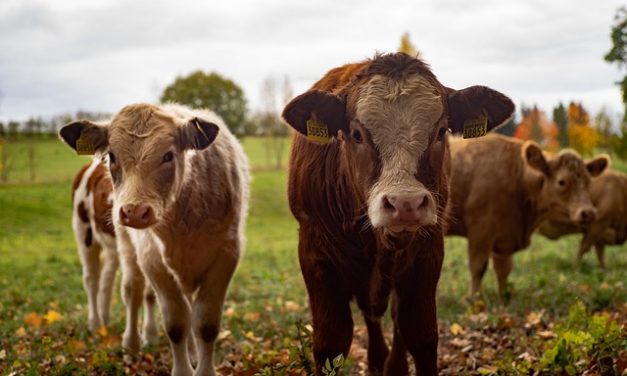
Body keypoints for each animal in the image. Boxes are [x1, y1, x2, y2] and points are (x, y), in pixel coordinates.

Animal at [61, 103, 250, 376]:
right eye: (112, 156)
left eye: (168, 156)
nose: (134, 211)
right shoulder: (152, 258)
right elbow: (176, 322)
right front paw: (182, 369)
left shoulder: (226, 254)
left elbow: (205, 323)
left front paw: (199, 363)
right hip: (91, 235)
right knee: (111, 285)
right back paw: (111, 333)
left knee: (113, 281)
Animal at [284, 53, 516, 376]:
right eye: (356, 134)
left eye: (440, 131)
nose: (405, 203)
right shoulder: (314, 254)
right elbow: (331, 343)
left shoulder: (427, 253)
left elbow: (420, 334)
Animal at [446, 134, 608, 302]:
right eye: (561, 182)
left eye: (588, 182)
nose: (588, 212)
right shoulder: (481, 230)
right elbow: (478, 266)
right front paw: (474, 301)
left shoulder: (504, 237)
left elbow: (504, 269)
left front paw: (503, 298)